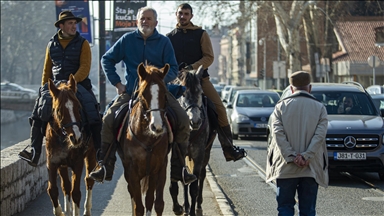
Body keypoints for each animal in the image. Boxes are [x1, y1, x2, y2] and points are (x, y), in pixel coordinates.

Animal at [45, 74, 97, 216]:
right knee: (66, 186)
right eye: (59, 110)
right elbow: (53, 190)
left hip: (91, 154)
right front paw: (61, 211)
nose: (77, 137)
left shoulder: (77, 163)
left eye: (78, 107)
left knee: (89, 180)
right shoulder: (52, 162)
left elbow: (76, 193)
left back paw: (87, 210)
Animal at [117, 62, 170, 216]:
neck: (148, 140)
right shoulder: (132, 171)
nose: (157, 126)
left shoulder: (159, 168)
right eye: (143, 94)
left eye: (164, 94)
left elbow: (157, 204)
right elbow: (138, 206)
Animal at [170, 66, 216, 216]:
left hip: (206, 152)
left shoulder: (199, 154)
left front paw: (192, 211)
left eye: (201, 92)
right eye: (182, 94)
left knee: (201, 175)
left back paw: (198, 206)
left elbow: (194, 187)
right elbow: (178, 181)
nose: (195, 121)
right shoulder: (176, 152)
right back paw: (185, 205)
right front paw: (180, 208)